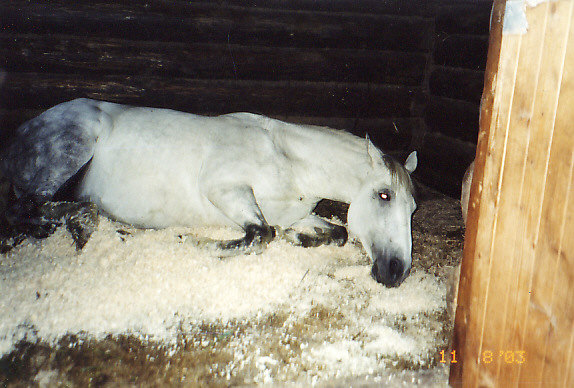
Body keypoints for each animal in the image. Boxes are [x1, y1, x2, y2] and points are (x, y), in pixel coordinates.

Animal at [2, 98, 420, 286]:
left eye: (413, 210)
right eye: (384, 195)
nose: (395, 272)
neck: (285, 157)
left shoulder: (296, 212)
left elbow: (336, 232)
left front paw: (300, 239)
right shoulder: (224, 188)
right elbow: (260, 234)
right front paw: (191, 242)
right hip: (72, 147)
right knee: (27, 207)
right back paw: (80, 224)